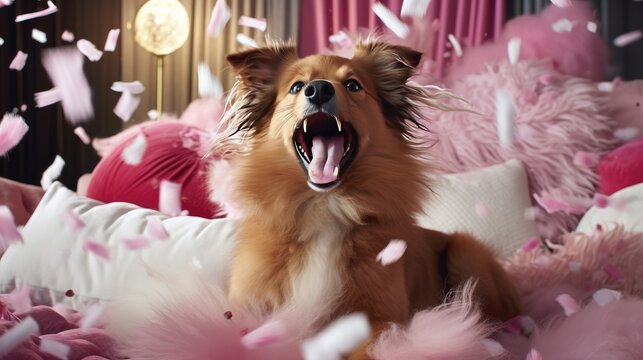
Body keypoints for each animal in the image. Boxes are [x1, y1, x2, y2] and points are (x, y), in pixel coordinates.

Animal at [218, 40, 524, 360]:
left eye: (353, 85)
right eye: (296, 86)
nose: (319, 89)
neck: (326, 206)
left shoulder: (378, 319)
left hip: (466, 251)